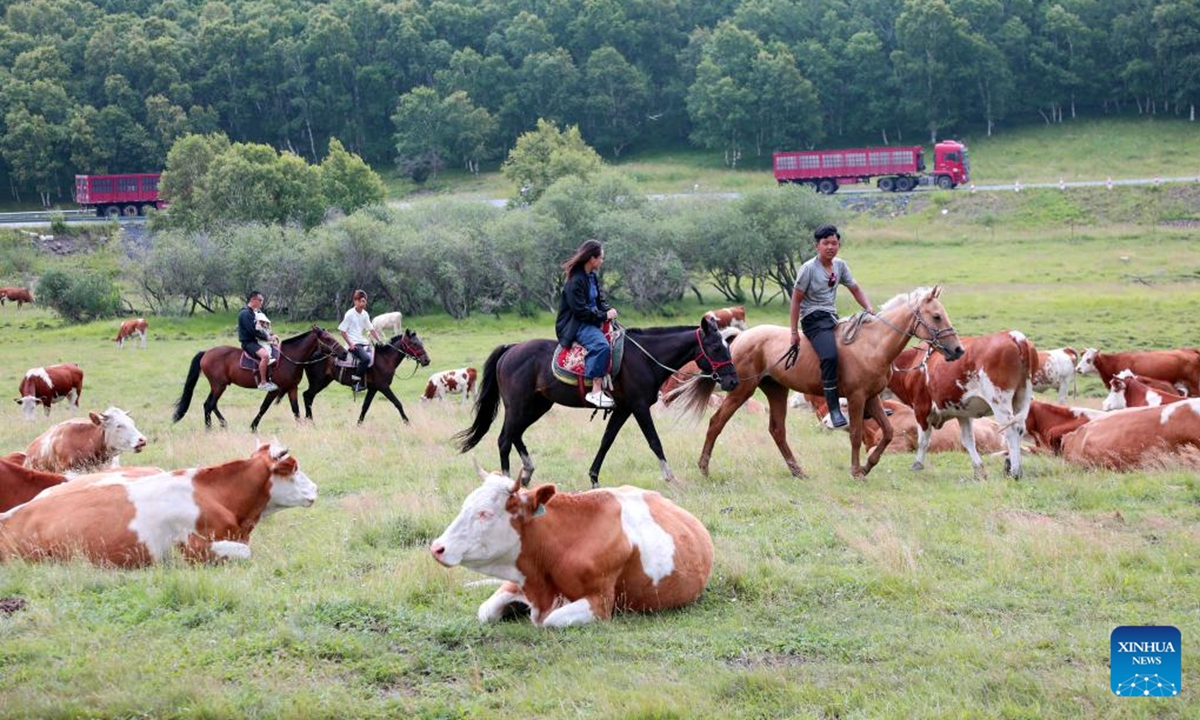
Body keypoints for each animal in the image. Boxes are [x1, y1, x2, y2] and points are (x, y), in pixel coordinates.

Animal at [173, 326, 345, 431]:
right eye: (328, 339)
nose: (344, 352)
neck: (289, 358)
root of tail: (206, 353)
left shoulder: (292, 388)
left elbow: (295, 409)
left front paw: (301, 426)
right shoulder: (275, 390)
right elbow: (264, 407)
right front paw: (253, 427)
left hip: (218, 386)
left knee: (209, 404)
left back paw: (220, 424)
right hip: (219, 386)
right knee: (209, 404)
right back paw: (209, 428)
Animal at [301, 329, 431, 425]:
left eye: (421, 343)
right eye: (414, 344)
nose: (427, 360)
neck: (385, 359)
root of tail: (312, 354)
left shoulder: (373, 388)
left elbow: (365, 406)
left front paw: (359, 424)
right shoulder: (384, 387)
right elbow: (397, 403)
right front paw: (407, 422)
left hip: (324, 381)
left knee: (309, 396)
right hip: (317, 381)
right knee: (307, 395)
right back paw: (310, 421)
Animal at [455, 316, 739, 489]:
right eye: (716, 348)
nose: (733, 380)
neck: (644, 358)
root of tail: (511, 349)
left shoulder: (623, 409)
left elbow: (606, 441)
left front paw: (593, 478)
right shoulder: (639, 407)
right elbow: (654, 441)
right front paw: (670, 477)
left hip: (536, 406)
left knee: (515, 435)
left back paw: (526, 472)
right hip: (519, 405)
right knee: (504, 439)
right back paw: (508, 482)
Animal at [679, 286, 965, 479]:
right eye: (936, 316)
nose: (958, 350)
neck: (871, 345)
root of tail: (739, 339)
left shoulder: (872, 397)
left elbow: (888, 432)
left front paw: (867, 465)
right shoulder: (857, 398)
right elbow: (856, 434)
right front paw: (856, 470)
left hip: (776, 390)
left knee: (777, 430)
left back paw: (798, 471)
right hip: (740, 390)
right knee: (716, 422)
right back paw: (703, 467)